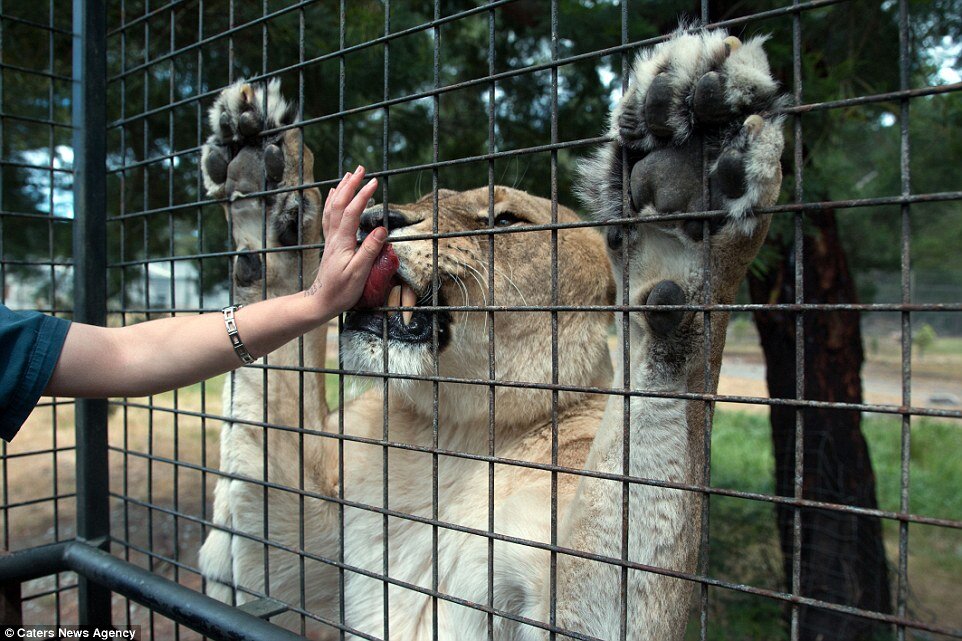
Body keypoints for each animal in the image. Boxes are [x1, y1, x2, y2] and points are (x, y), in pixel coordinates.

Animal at [195, 26, 780, 640]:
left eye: (504, 221)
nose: (374, 218)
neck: (452, 436)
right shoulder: (279, 561)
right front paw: (262, 180)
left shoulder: (574, 605)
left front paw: (683, 211)